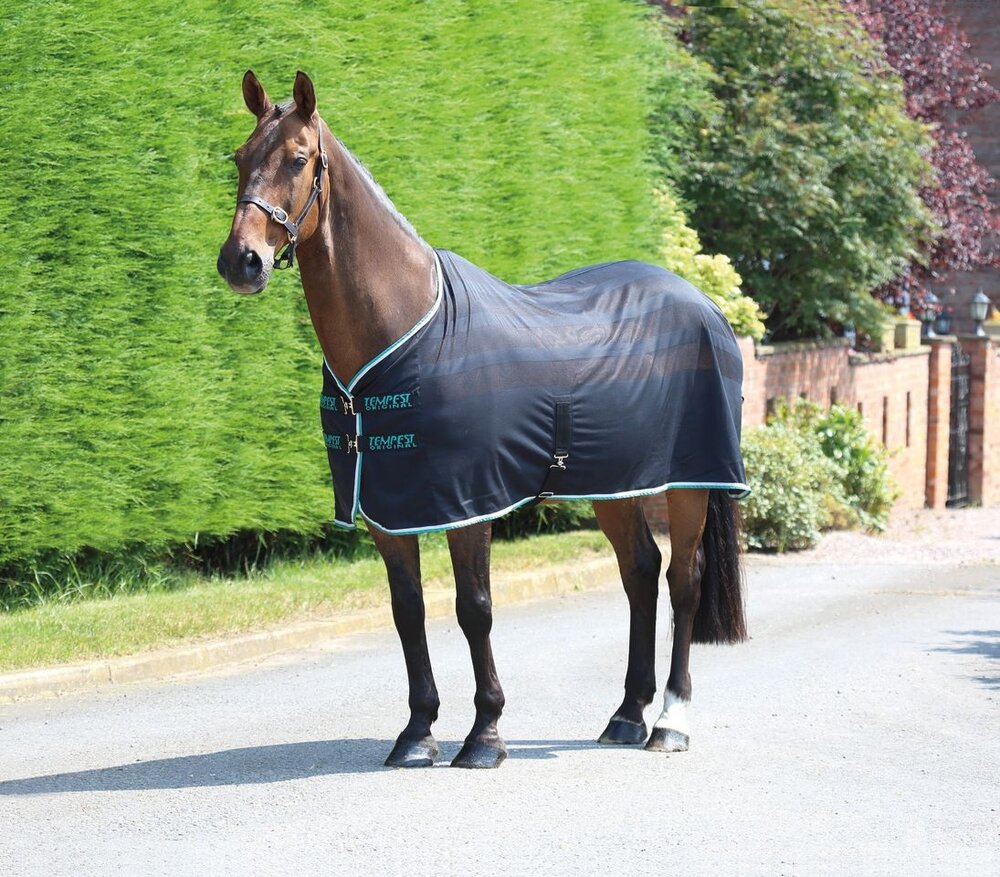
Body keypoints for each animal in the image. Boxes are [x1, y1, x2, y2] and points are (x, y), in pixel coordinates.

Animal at [217, 71, 748, 769]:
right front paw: (416, 734)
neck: (405, 328)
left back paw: (669, 722)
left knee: (682, 582)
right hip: (616, 486)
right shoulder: (389, 507)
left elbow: (474, 609)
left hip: (688, 485)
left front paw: (485, 735)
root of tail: (703, 302)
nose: (241, 261)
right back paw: (626, 716)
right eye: (239, 158)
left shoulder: (468, 503)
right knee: (639, 574)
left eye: (299, 160)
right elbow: (407, 611)